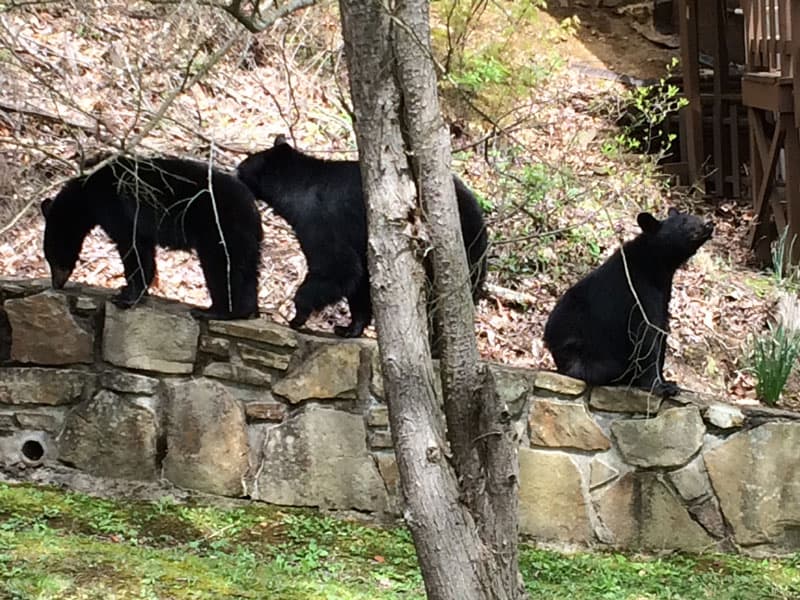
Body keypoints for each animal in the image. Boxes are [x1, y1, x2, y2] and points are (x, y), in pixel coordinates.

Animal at [41, 157, 262, 322]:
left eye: (51, 258)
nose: (56, 284)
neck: (86, 197)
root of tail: (253, 210)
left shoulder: (117, 208)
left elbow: (132, 247)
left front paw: (126, 296)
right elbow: (143, 249)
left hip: (219, 228)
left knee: (222, 265)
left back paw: (217, 311)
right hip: (243, 239)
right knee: (246, 270)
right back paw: (246, 311)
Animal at [234, 138, 490, 340]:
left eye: (243, 165)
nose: (233, 171)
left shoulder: (321, 222)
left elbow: (338, 267)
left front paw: (297, 315)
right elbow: (360, 282)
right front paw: (349, 328)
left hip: (461, 245)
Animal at [544, 209, 712, 396]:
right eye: (684, 221)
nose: (708, 224)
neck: (657, 266)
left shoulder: (663, 294)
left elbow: (661, 330)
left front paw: (667, 380)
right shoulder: (638, 291)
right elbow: (646, 335)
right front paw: (660, 386)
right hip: (582, 352)